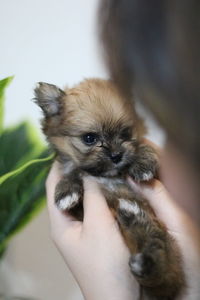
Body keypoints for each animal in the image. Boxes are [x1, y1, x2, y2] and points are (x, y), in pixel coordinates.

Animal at [34, 78, 184, 298]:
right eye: (90, 138)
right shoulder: (79, 210)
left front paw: (142, 162)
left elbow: (145, 150)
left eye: (126, 133)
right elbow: (72, 174)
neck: (108, 176)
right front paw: (67, 191)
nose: (116, 155)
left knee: (160, 262)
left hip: (161, 240)